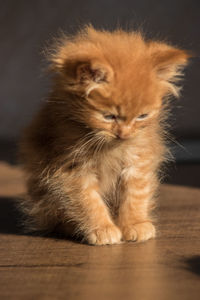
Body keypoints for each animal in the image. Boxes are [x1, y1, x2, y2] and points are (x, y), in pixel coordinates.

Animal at [19, 25, 190, 245]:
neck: (111, 148)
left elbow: (135, 195)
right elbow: (88, 201)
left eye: (142, 116)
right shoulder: (72, 168)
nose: (124, 134)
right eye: (109, 116)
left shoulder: (138, 160)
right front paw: (102, 229)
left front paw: (135, 224)